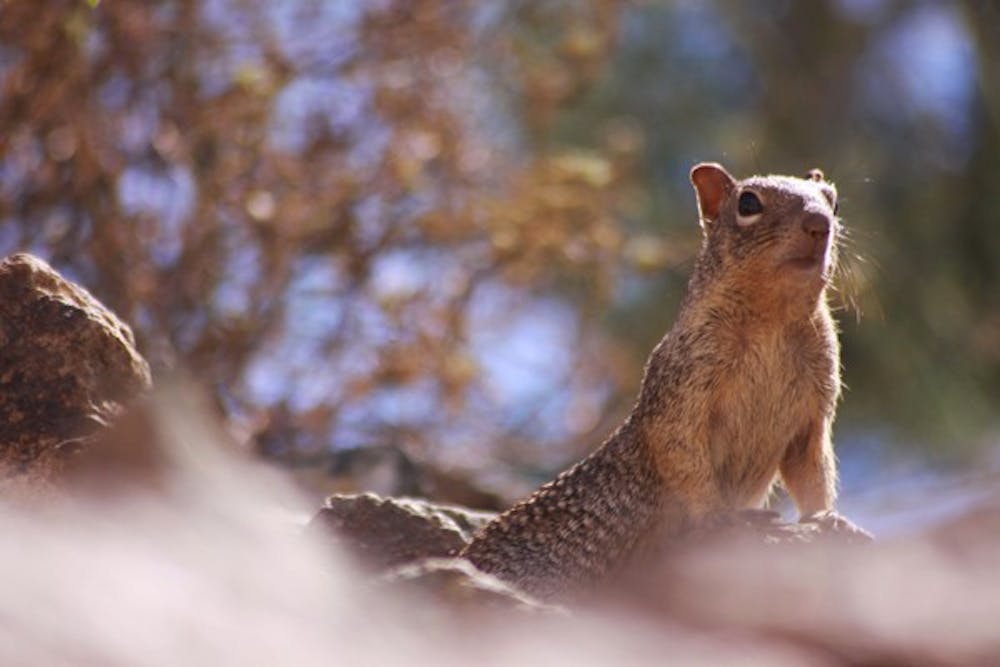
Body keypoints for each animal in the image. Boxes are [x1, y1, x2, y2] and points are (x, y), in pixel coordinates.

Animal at [464, 162, 872, 600]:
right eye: (748, 203)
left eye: (833, 201)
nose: (819, 224)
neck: (772, 319)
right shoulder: (683, 386)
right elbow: (682, 452)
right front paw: (725, 519)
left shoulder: (812, 413)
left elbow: (812, 469)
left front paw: (829, 519)